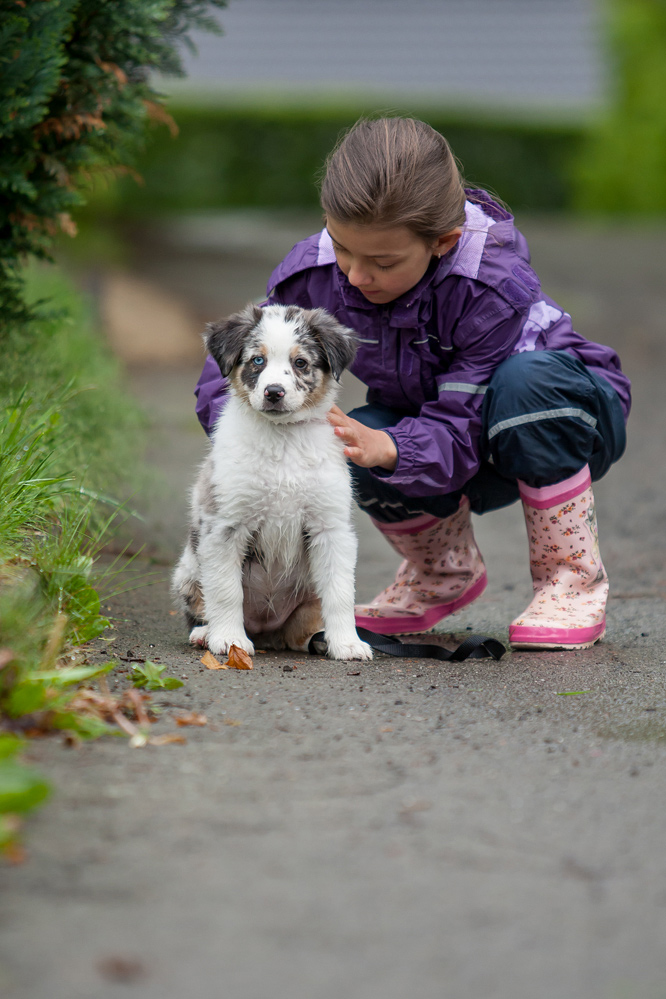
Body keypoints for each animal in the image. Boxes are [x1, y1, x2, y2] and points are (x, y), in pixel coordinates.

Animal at [171, 304, 370, 664]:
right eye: (257, 360)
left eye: (300, 363)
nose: (274, 392)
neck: (283, 439)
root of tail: (268, 632)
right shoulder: (225, 525)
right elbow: (226, 590)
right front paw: (230, 639)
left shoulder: (330, 527)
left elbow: (339, 593)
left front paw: (347, 643)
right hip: (188, 570)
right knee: (205, 603)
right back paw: (207, 633)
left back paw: (317, 639)